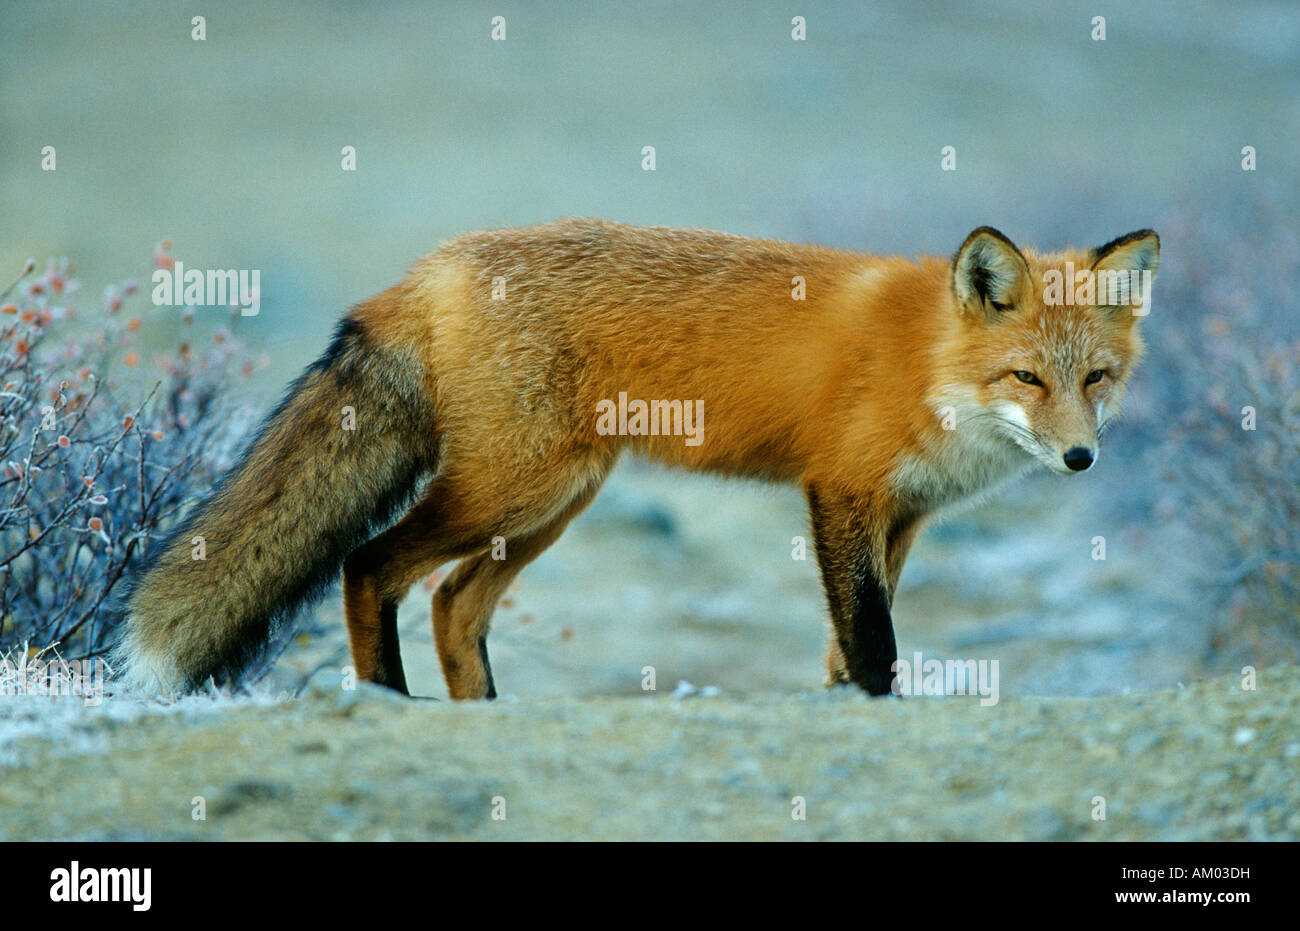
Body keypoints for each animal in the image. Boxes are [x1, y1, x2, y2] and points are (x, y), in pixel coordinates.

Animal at [119, 219, 1159, 696]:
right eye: (1027, 376)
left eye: (1096, 378)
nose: (1080, 458)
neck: (927, 363)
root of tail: (428, 268)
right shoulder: (841, 495)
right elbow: (873, 640)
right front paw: (878, 710)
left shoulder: (897, 520)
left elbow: (846, 642)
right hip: (508, 491)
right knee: (368, 564)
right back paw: (390, 703)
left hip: (554, 504)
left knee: (454, 605)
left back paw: (478, 714)